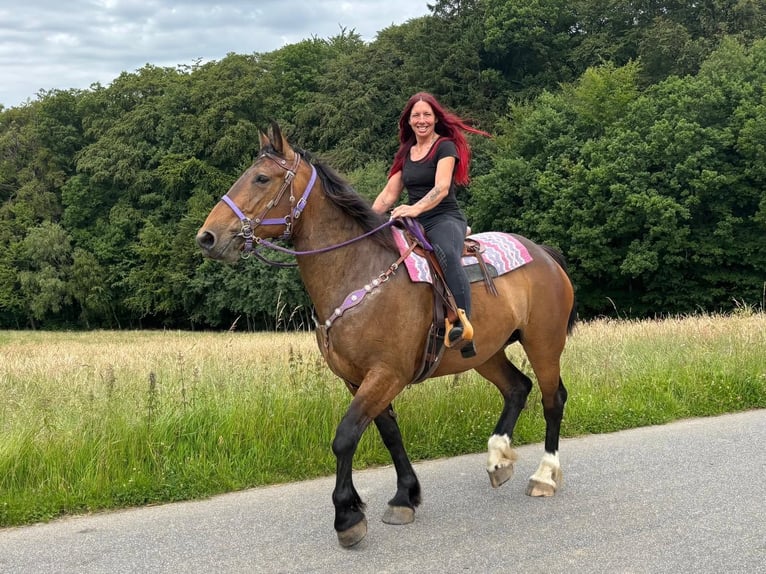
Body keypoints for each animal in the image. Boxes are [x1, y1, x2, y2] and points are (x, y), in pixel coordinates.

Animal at [196, 123, 576, 547]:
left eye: (261, 178)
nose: (207, 237)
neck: (359, 272)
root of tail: (543, 254)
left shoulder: (386, 373)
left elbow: (345, 436)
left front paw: (347, 517)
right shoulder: (357, 378)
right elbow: (388, 433)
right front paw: (404, 497)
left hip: (544, 342)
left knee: (552, 399)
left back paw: (544, 476)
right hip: (485, 353)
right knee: (516, 388)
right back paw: (498, 459)